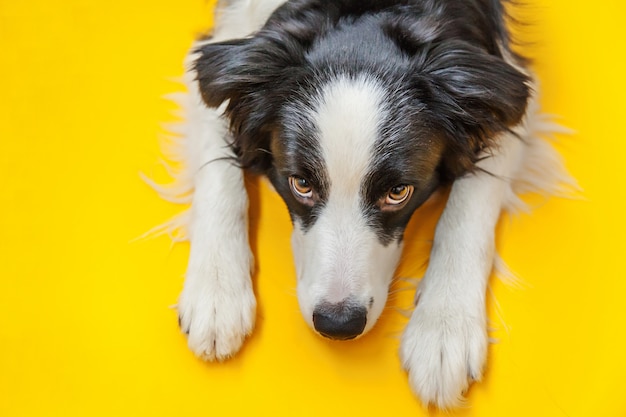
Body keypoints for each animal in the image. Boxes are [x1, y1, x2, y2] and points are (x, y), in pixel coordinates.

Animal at [151, 0, 572, 410]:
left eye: (398, 192)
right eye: (301, 184)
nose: (338, 325)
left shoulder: (512, 86)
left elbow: (472, 196)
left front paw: (443, 328)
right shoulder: (221, 49)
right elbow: (217, 165)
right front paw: (215, 291)